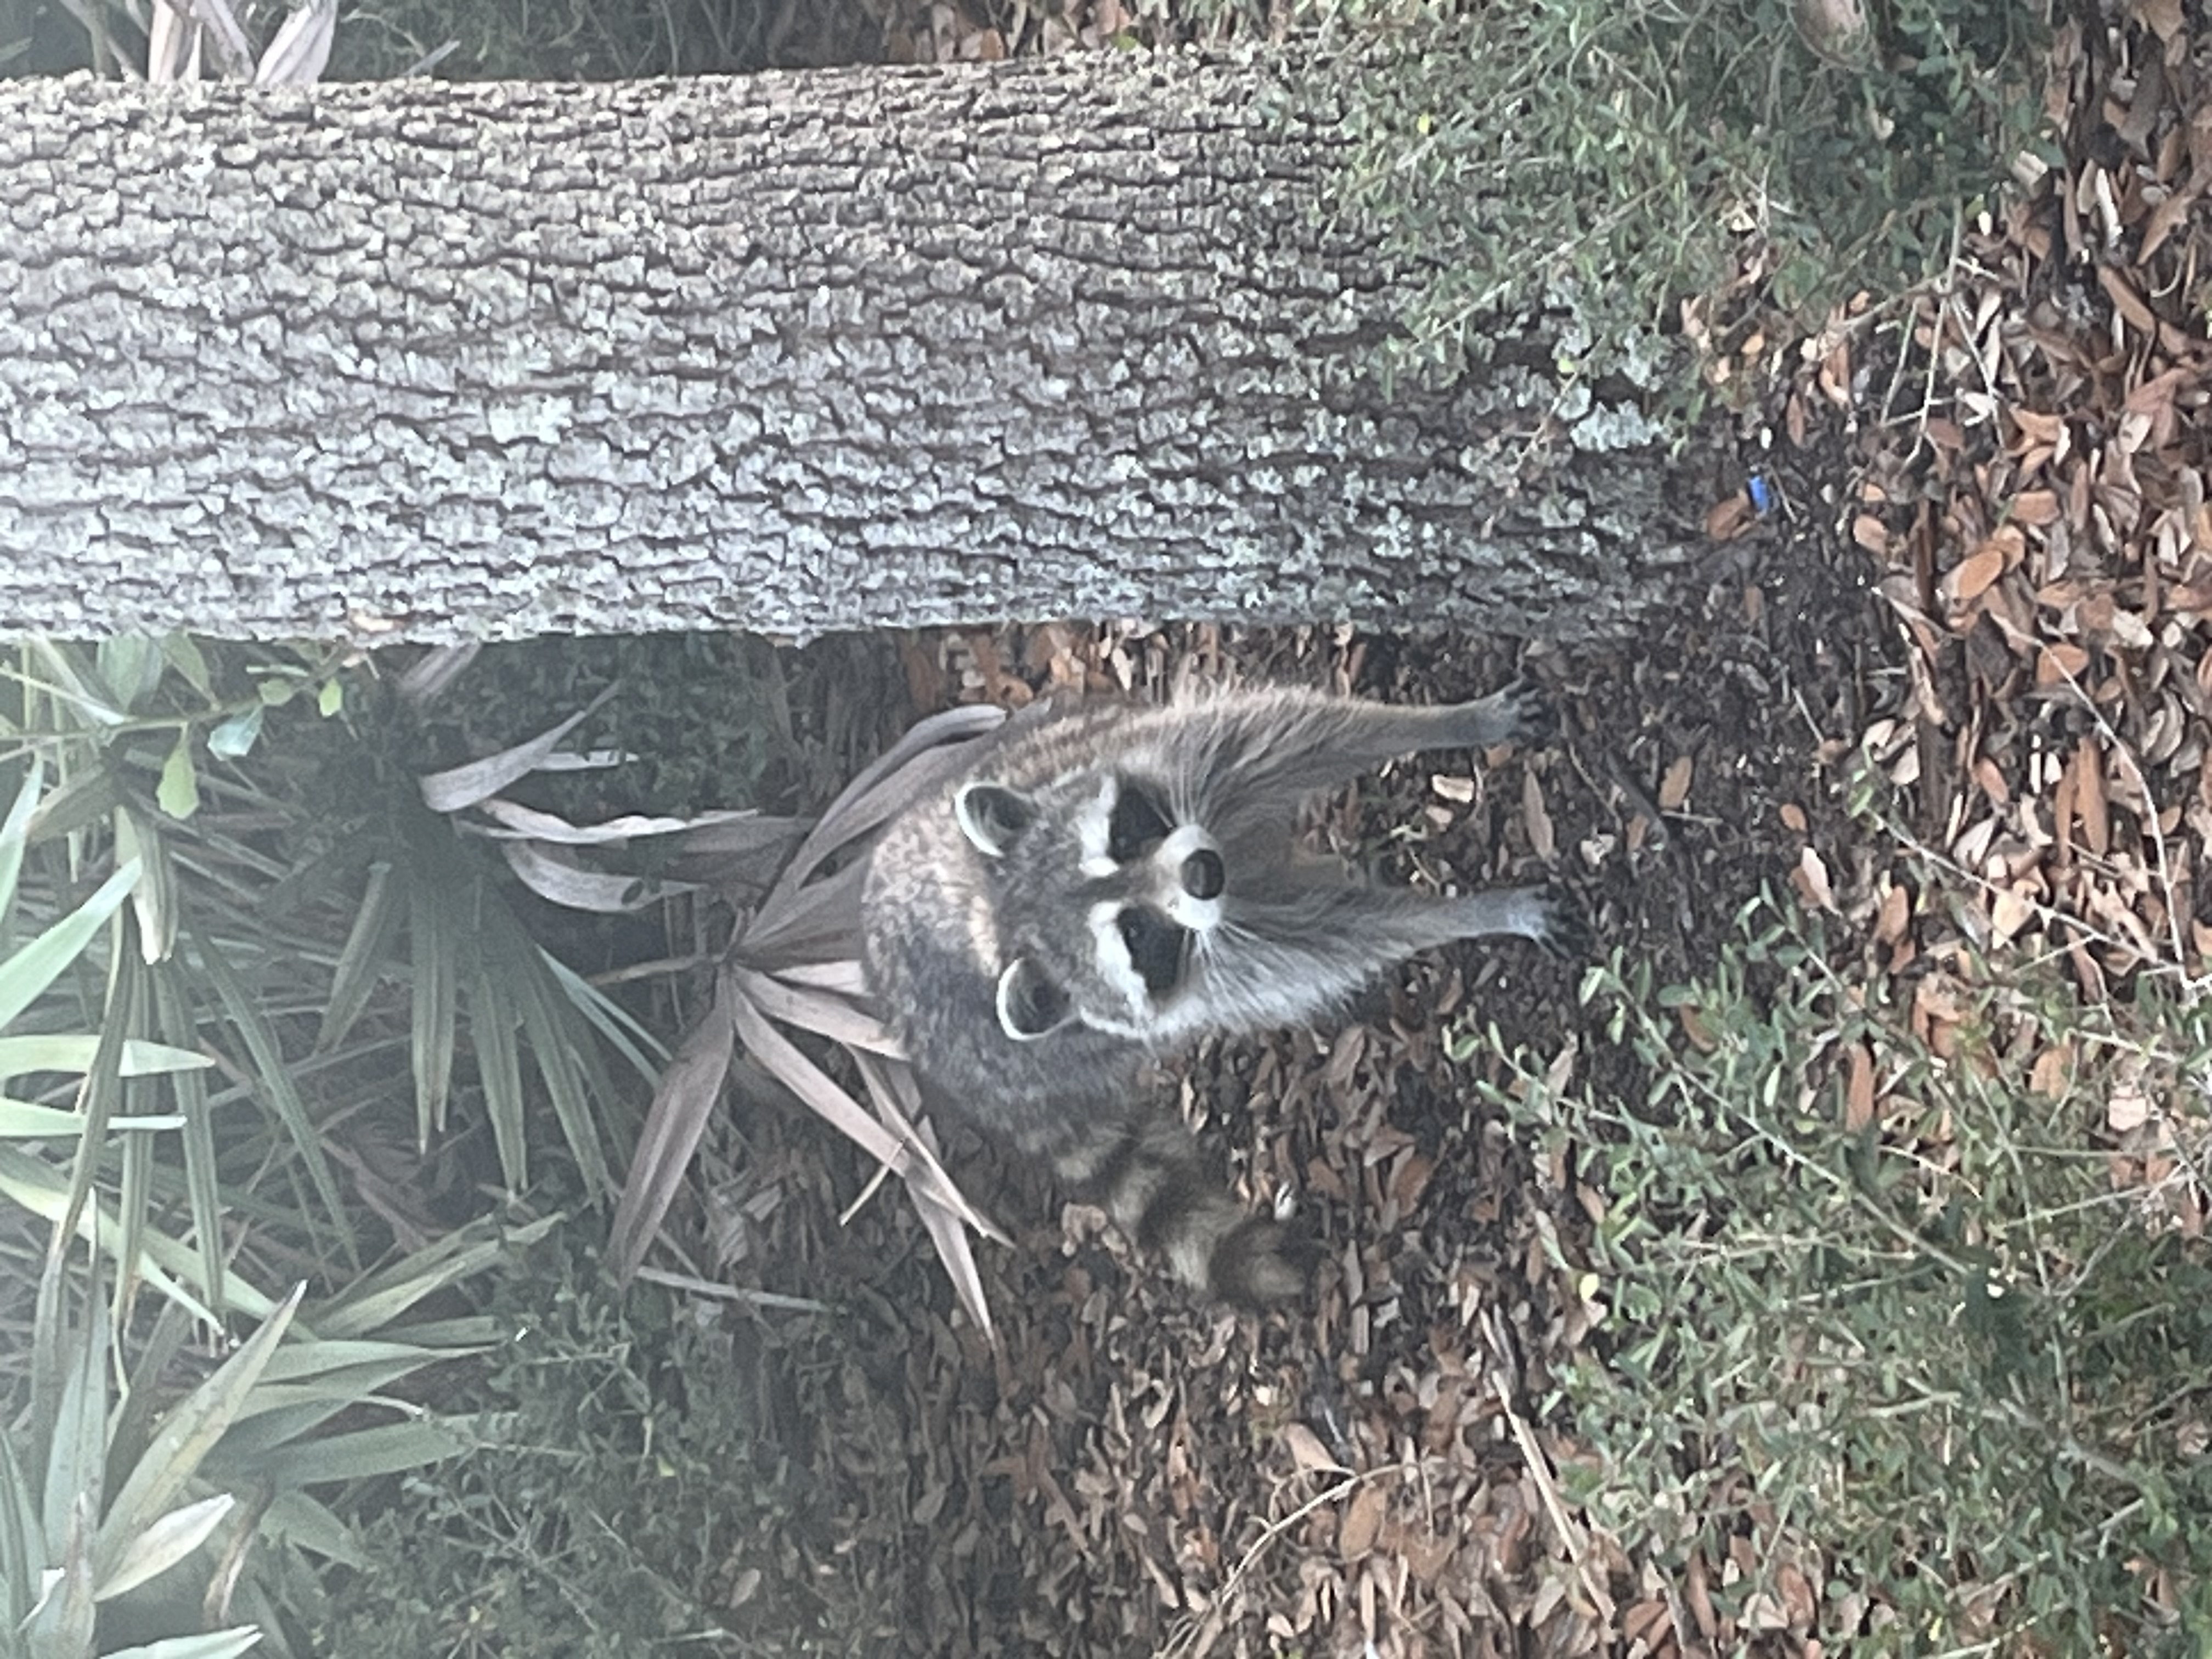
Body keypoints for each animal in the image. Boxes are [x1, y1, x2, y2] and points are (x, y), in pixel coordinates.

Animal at [859, 680, 1578, 1307]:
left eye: (1124, 836)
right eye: (1137, 934)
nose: (1203, 874)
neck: (1000, 921)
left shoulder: (1173, 761)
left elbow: (1315, 733)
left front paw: (1456, 722)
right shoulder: (1219, 972)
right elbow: (1339, 936)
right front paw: (1476, 914)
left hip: (1030, 739)